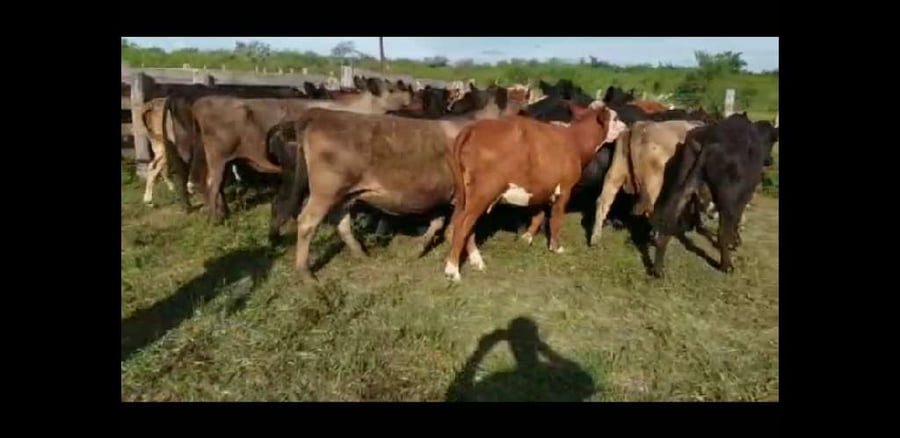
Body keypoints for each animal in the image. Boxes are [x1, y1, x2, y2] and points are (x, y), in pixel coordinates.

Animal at [443, 105, 626, 281]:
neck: (574, 140)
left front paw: (527, 237)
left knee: (463, 222)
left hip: (465, 193)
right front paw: (556, 247)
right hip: (484, 192)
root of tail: (473, 127)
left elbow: (538, 215)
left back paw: (476, 261)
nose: (625, 126)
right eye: (616, 118)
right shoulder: (564, 189)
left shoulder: (541, 188)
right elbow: (555, 220)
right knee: (462, 225)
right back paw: (452, 270)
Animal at [649, 113, 778, 277]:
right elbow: (736, 221)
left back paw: (658, 269)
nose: (770, 160)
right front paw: (735, 242)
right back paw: (727, 265)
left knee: (668, 219)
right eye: (773, 139)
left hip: (682, 185)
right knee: (722, 232)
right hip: (728, 198)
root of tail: (710, 141)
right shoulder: (744, 196)